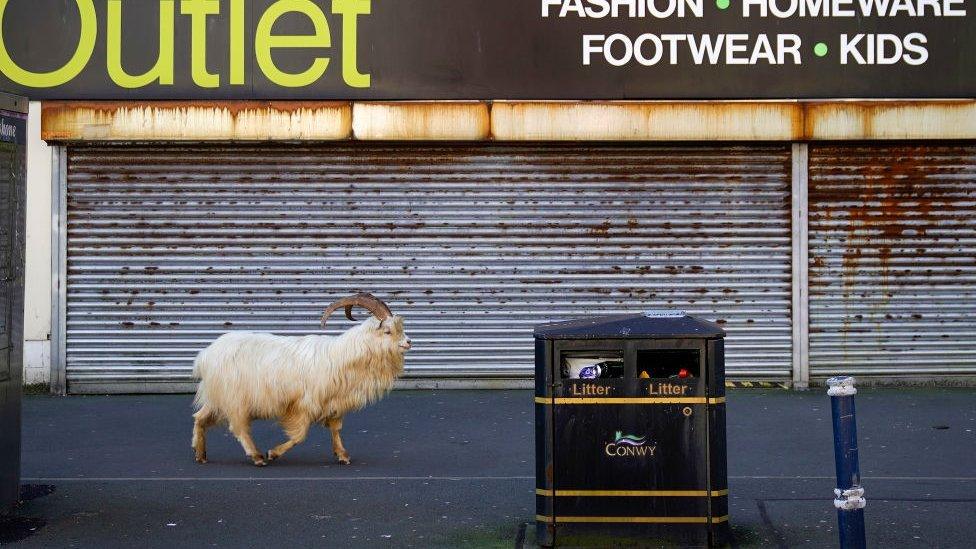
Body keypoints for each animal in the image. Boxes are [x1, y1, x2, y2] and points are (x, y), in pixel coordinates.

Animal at [191, 294, 412, 464]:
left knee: (200, 417)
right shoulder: (304, 404)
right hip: (235, 398)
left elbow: (336, 428)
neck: (341, 356)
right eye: (388, 331)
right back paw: (257, 456)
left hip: (218, 396)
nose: (409, 342)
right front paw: (273, 453)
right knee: (238, 427)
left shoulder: (333, 403)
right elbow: (300, 435)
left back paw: (200, 454)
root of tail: (205, 355)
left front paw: (342, 455)